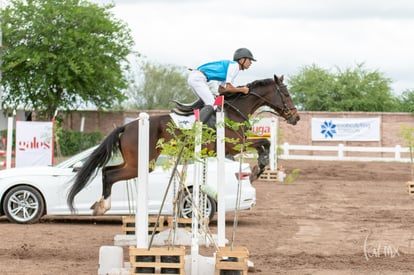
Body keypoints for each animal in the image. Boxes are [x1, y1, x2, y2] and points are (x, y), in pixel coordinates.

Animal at [68, 75, 300, 216]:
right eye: (287, 94)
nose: (296, 117)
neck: (235, 110)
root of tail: (127, 127)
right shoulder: (234, 145)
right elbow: (265, 142)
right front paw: (257, 170)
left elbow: (264, 143)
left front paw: (258, 169)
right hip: (141, 163)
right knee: (110, 174)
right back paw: (103, 206)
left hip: (135, 162)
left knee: (107, 171)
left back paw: (99, 205)